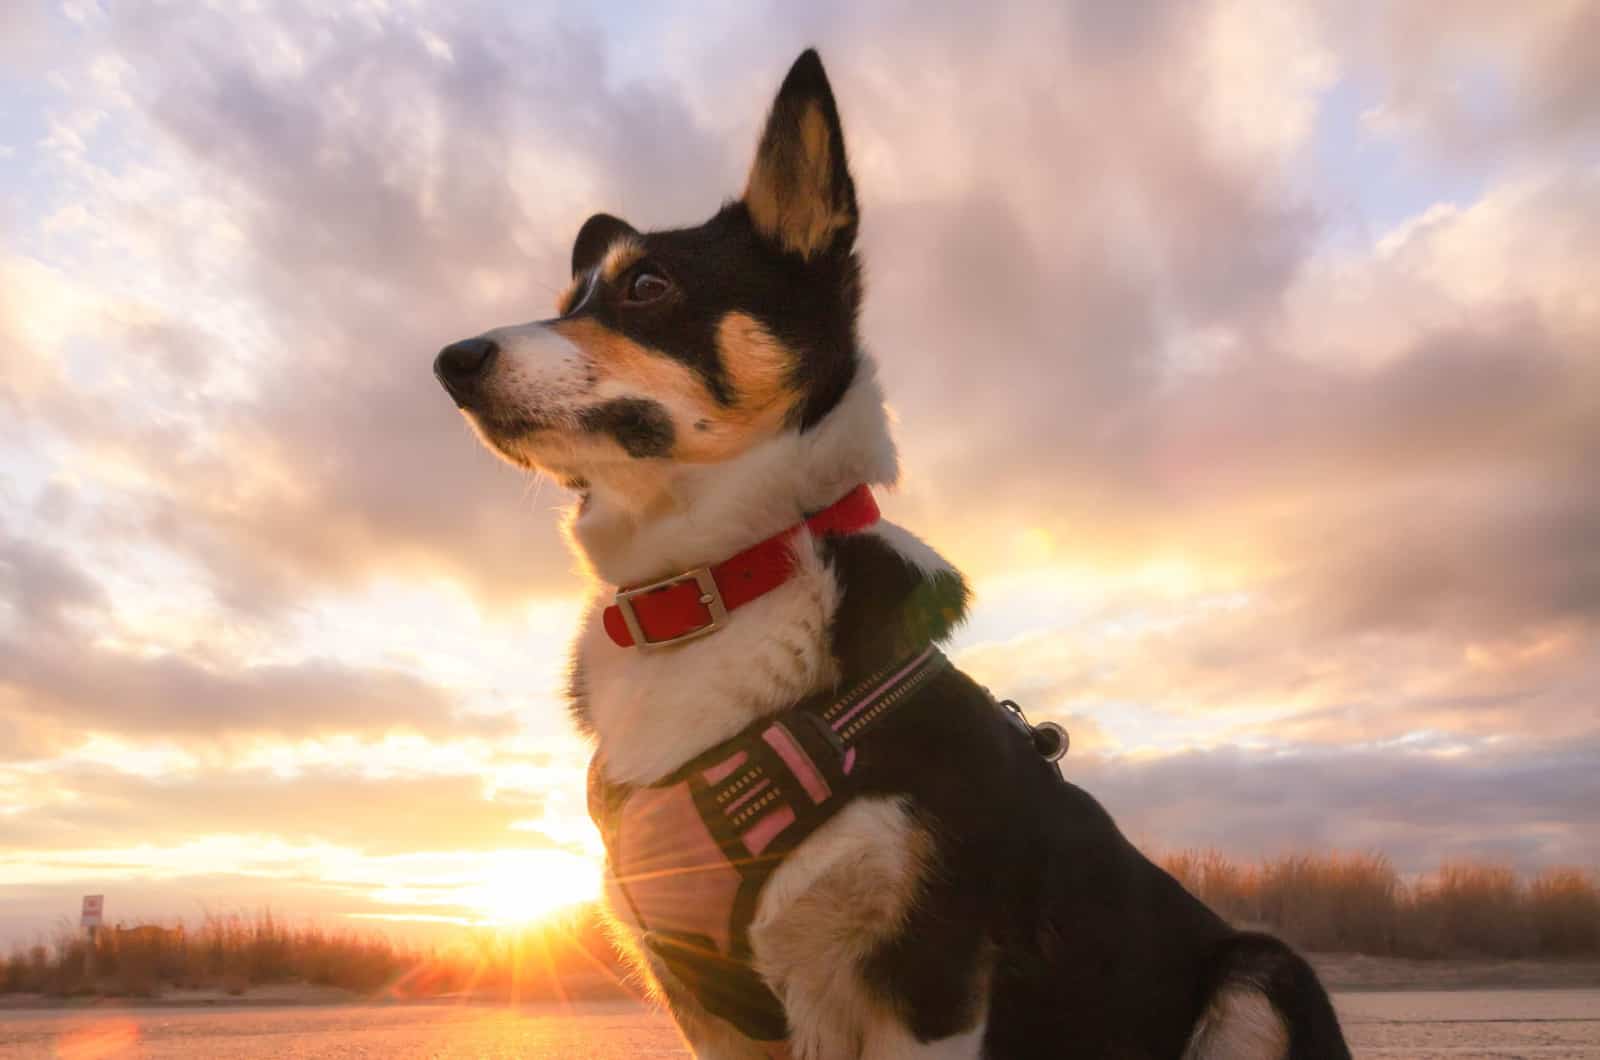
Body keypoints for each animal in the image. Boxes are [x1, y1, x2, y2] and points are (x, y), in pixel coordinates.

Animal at [432, 45, 1344, 1056]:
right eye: (569, 301)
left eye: (649, 287)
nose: (451, 362)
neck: (712, 585)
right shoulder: (711, 1003)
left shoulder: (928, 983)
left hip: (1265, 972)